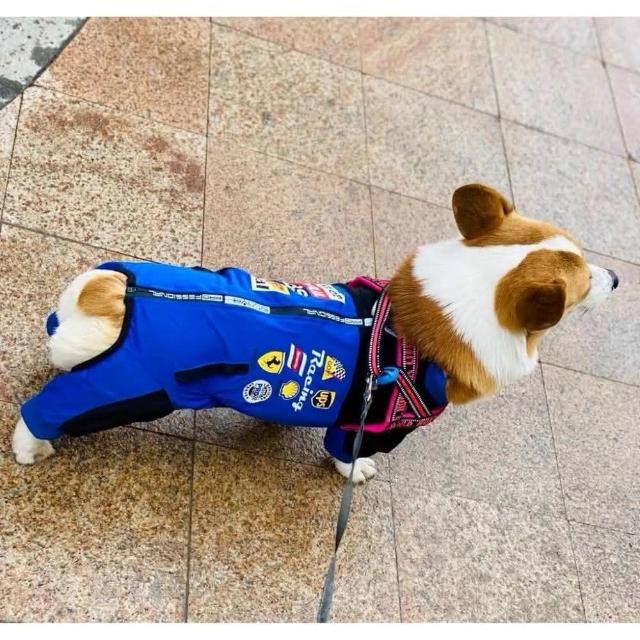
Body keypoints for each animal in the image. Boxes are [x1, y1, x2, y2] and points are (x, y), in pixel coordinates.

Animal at [12, 184, 618, 482]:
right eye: (586, 283)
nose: (616, 277)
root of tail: (118, 290)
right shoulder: (372, 423)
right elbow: (346, 454)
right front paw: (356, 472)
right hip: (133, 389)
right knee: (49, 406)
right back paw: (31, 446)